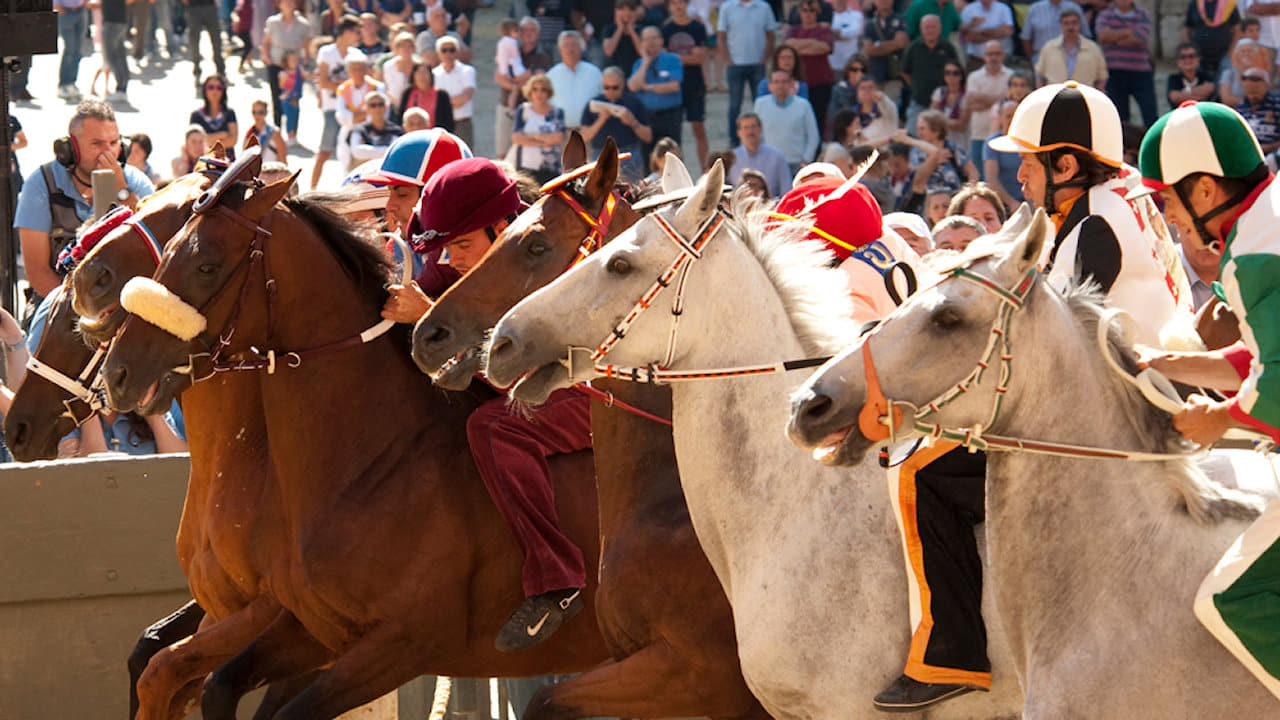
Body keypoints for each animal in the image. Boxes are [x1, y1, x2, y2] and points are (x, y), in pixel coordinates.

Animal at [97, 169, 606, 717]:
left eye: (207, 265)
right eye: (167, 250)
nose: (118, 370)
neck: (375, 461)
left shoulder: (401, 641)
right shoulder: (312, 625)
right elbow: (185, 671)